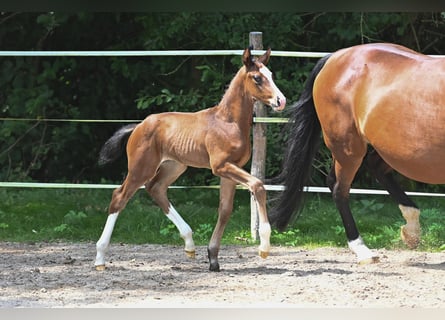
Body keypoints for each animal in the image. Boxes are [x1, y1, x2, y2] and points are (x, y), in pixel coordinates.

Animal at [95, 47, 286, 272]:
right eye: (257, 78)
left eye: (271, 75)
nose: (280, 101)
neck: (228, 122)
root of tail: (139, 126)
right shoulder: (221, 167)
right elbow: (258, 186)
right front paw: (264, 247)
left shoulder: (230, 170)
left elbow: (225, 209)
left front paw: (213, 258)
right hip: (141, 168)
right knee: (119, 197)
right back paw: (100, 258)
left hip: (175, 166)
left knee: (156, 188)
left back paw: (189, 243)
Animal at [268, 42, 442, 262]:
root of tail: (335, 57)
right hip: (348, 147)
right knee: (339, 189)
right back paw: (362, 249)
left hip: (387, 148)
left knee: (371, 169)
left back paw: (411, 231)